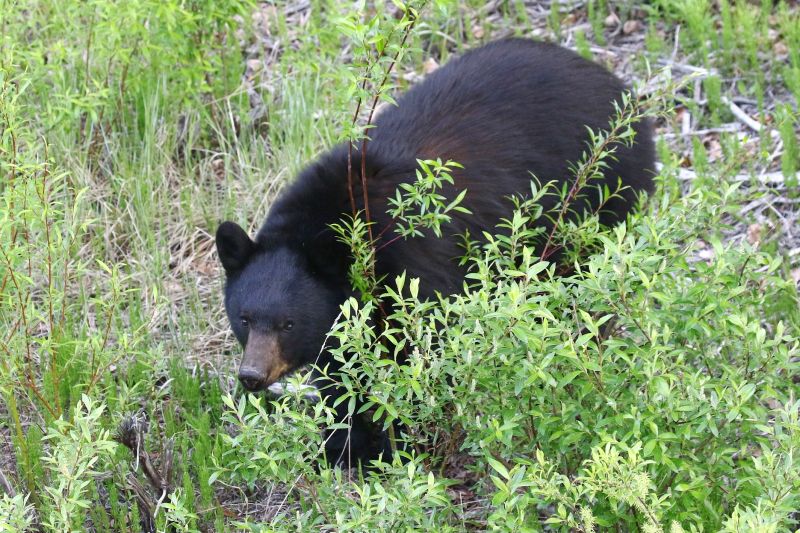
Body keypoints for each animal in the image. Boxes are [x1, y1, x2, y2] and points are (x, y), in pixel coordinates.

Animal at [214, 37, 656, 464]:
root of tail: (621, 89)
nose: (251, 375)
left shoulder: (416, 273)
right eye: (245, 318)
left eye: (288, 324)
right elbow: (342, 370)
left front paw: (401, 444)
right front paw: (344, 446)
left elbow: (418, 356)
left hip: (600, 200)